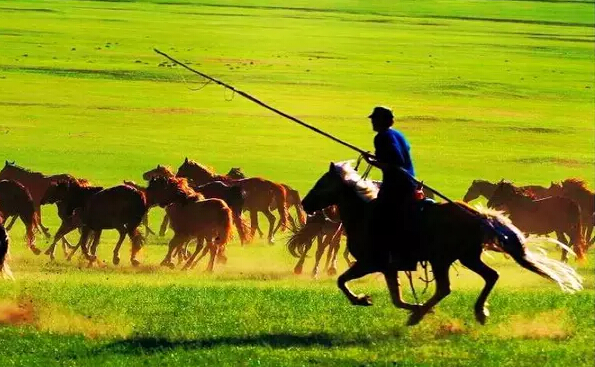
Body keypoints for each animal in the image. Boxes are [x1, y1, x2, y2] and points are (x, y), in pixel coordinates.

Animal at [302, 162, 584, 326]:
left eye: (321, 183)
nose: (305, 204)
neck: (365, 214)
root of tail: (478, 215)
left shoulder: (371, 262)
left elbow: (342, 281)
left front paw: (363, 299)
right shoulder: (389, 267)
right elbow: (396, 297)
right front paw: (411, 306)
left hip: (442, 259)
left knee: (446, 288)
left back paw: (420, 315)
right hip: (466, 257)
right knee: (490, 276)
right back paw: (477, 312)